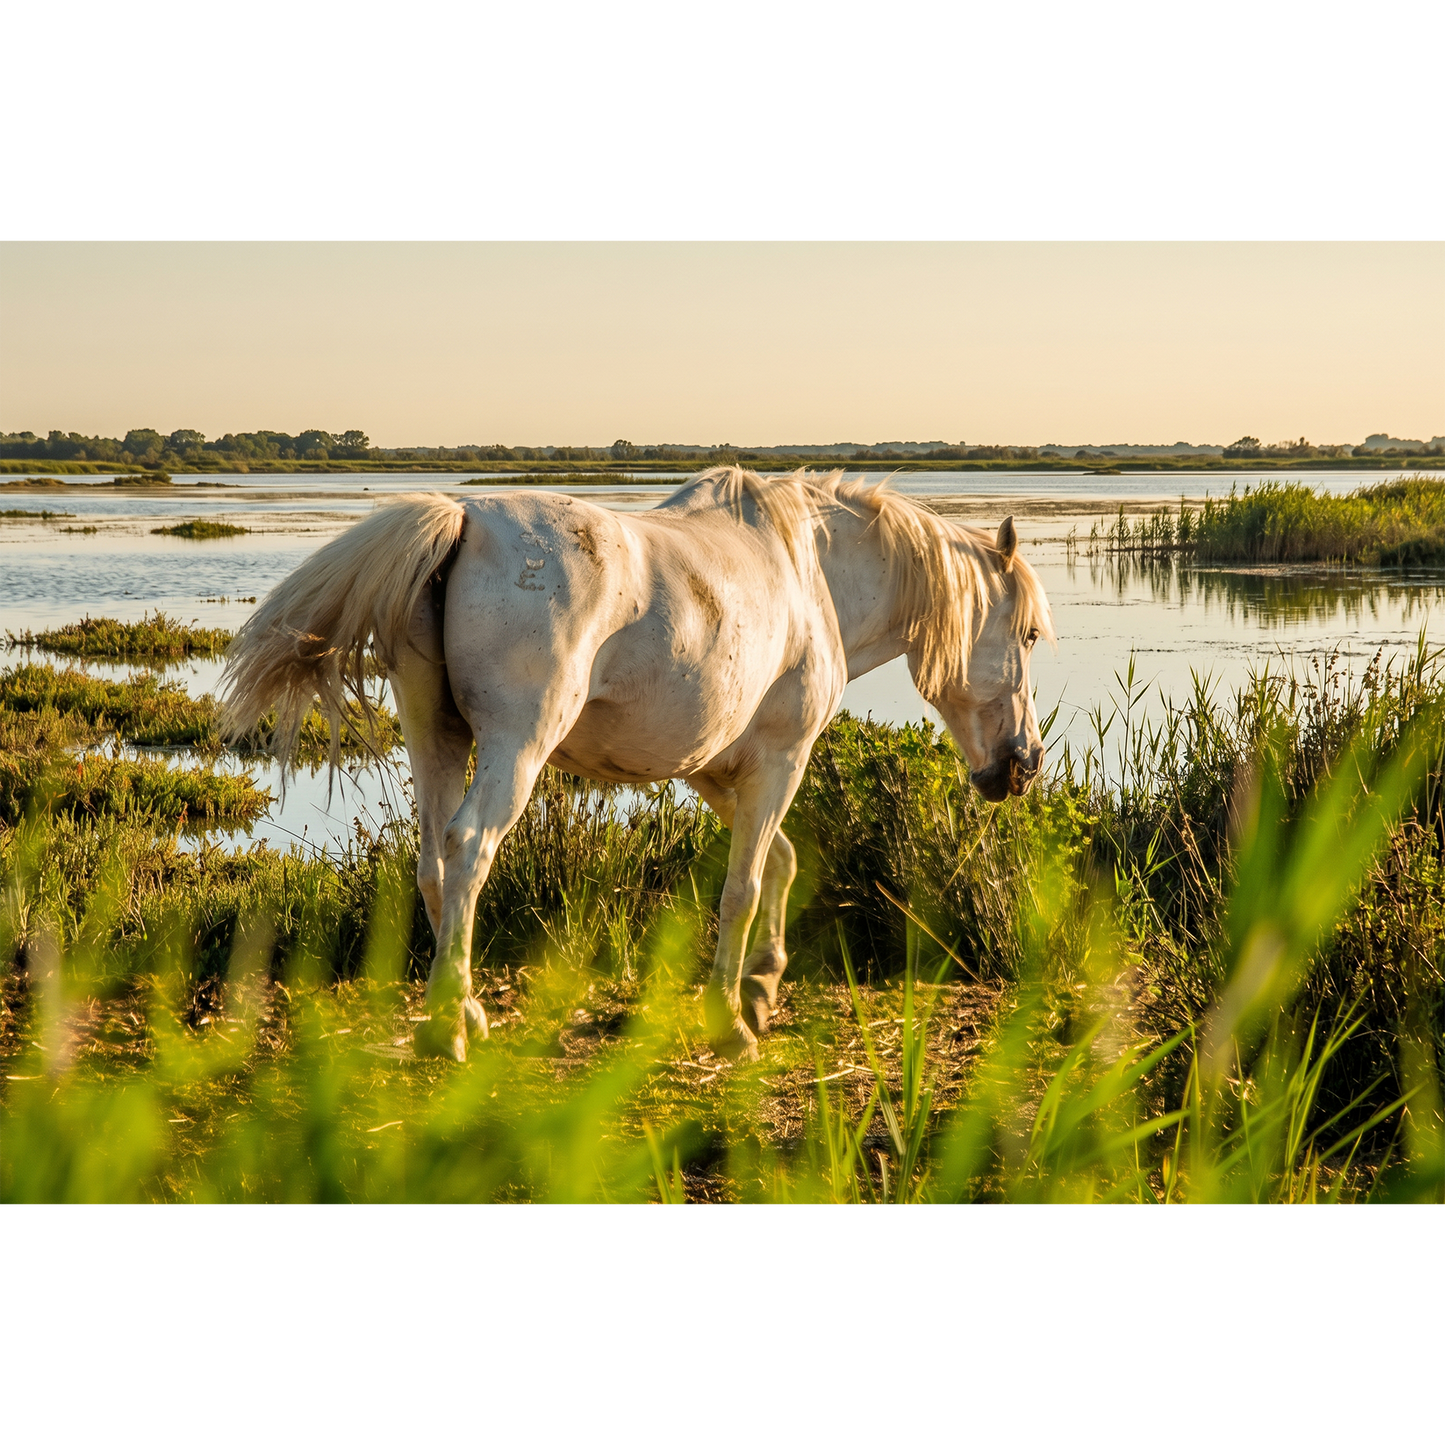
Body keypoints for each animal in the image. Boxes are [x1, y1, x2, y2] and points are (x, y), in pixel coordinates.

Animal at [220, 468, 1054, 1062]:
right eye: (1028, 634)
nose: (1022, 765)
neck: (809, 571)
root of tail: (465, 522)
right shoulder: (779, 757)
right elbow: (743, 886)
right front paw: (730, 1018)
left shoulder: (715, 770)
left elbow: (778, 861)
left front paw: (762, 982)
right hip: (516, 746)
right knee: (469, 848)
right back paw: (445, 1030)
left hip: (436, 737)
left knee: (431, 861)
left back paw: (467, 1010)